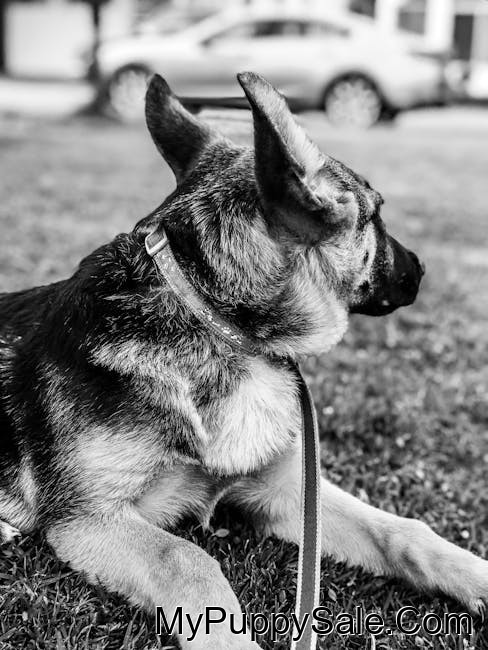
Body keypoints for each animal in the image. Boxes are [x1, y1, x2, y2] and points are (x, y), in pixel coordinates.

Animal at [1, 72, 487, 649]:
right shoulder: (86, 518)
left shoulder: (287, 493)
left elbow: (402, 529)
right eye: (376, 216)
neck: (211, 317)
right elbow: (188, 559)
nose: (422, 267)